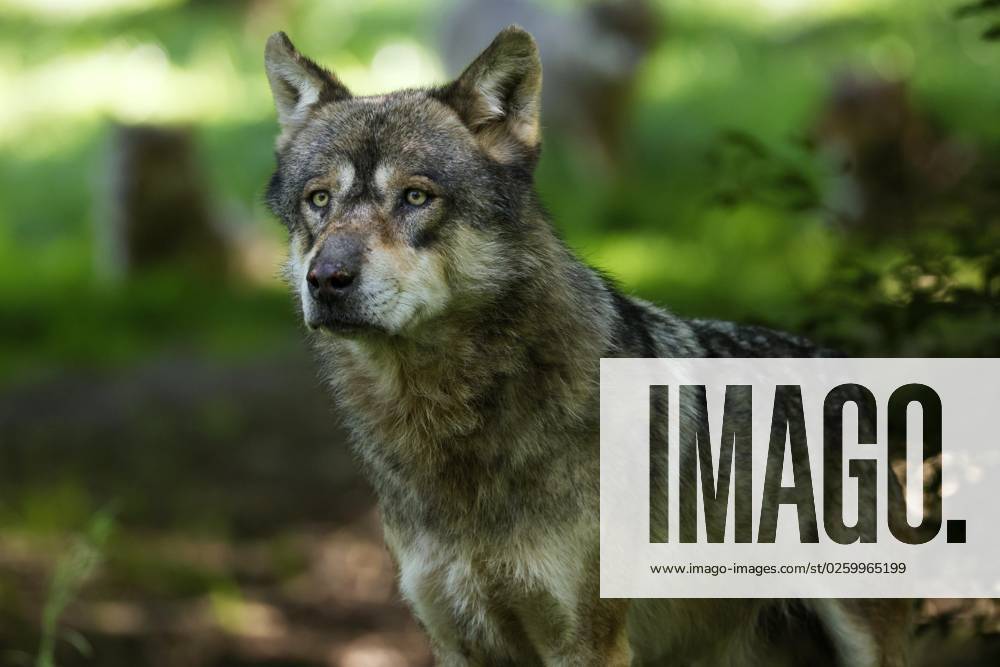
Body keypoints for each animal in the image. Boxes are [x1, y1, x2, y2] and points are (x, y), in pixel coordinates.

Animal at [263, 26, 912, 666]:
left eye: (416, 198)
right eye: (319, 200)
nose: (326, 280)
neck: (451, 425)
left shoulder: (587, 642)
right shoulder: (455, 640)